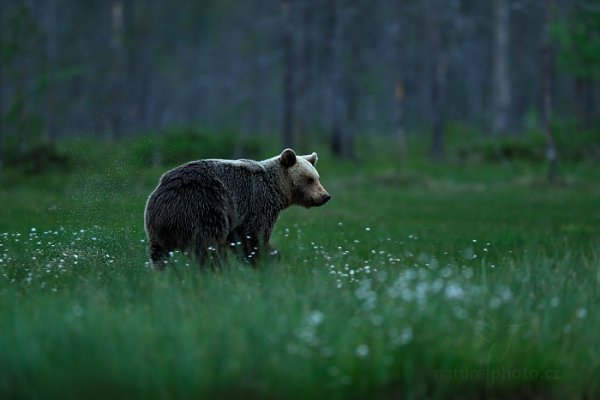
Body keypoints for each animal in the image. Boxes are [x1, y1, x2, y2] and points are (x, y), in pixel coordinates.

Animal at [145, 148, 332, 268]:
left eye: (317, 177)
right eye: (309, 179)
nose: (325, 196)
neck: (277, 189)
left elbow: (239, 238)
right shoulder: (257, 203)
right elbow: (253, 236)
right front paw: (268, 256)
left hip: (157, 229)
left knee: (159, 255)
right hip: (205, 206)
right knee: (209, 246)